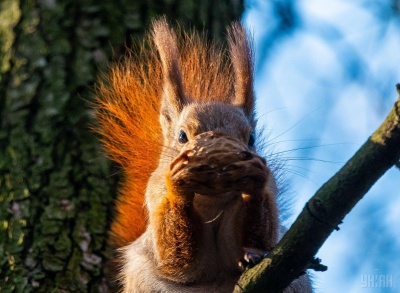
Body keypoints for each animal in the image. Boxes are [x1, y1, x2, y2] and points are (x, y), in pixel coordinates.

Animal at [94, 17, 312, 290]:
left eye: (251, 139)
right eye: (182, 136)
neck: (211, 199)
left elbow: (254, 242)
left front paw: (254, 181)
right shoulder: (155, 197)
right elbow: (179, 262)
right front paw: (178, 185)